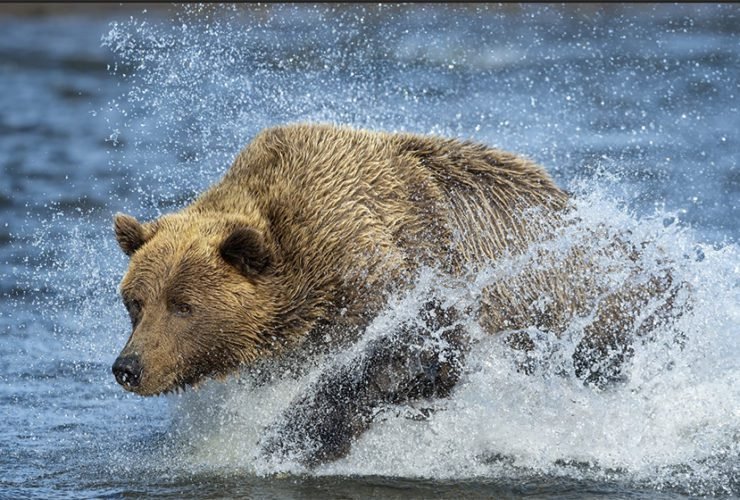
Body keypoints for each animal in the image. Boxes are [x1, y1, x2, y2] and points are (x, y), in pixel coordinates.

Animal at [111, 123, 686, 465]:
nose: (128, 367)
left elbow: (413, 352)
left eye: (183, 306)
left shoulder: (394, 269)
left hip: (596, 312)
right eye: (135, 302)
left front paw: (295, 436)